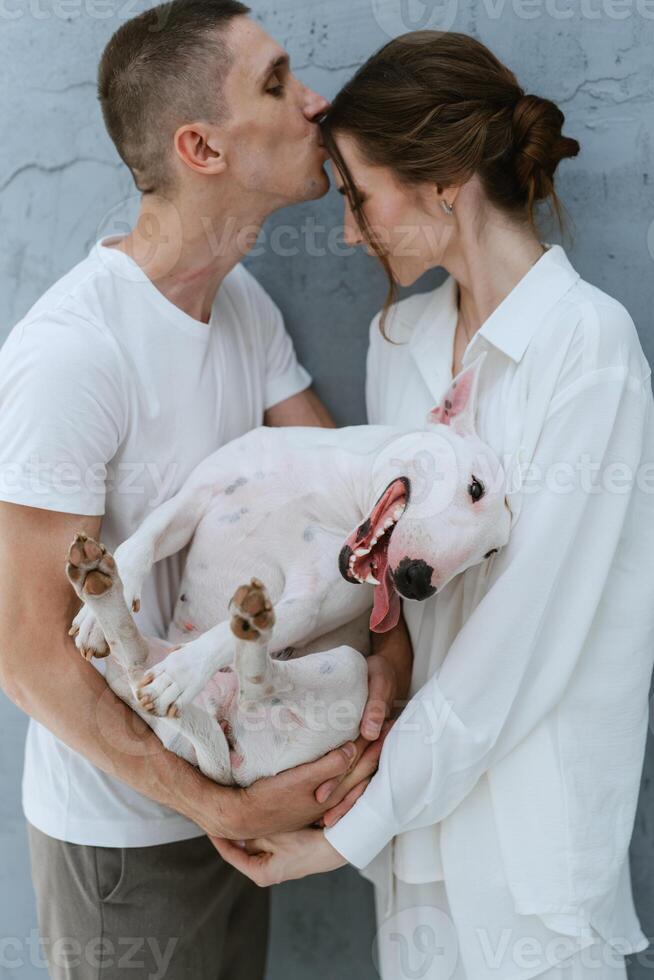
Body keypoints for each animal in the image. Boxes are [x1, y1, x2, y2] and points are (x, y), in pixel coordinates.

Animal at [65, 352, 512, 788]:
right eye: (475, 488)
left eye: (488, 554)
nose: (419, 583)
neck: (331, 488)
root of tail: (232, 762)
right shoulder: (193, 498)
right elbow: (145, 539)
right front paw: (96, 614)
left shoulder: (309, 604)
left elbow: (225, 637)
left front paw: (183, 672)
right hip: (126, 673)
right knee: (134, 661)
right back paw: (101, 591)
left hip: (347, 669)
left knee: (258, 681)